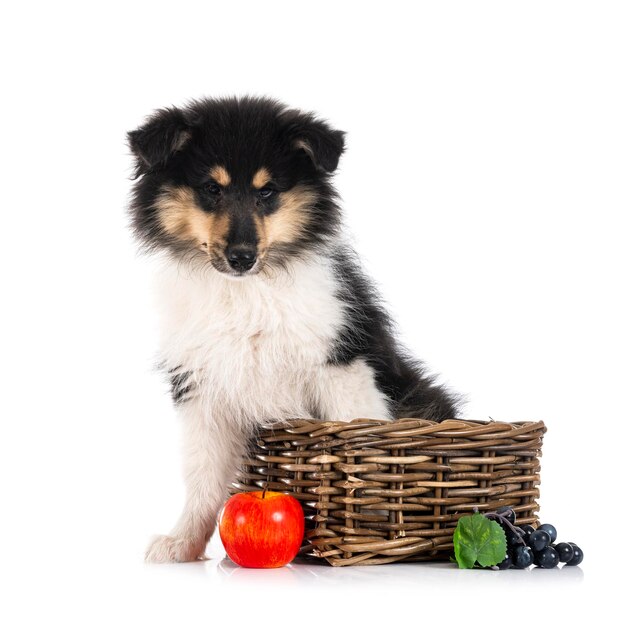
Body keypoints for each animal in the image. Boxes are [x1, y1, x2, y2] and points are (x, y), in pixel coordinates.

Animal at [126, 96, 458, 560]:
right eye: (212, 189)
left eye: (267, 191)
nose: (241, 257)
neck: (246, 292)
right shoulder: (202, 387)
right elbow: (202, 475)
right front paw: (182, 542)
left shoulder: (341, 366)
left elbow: (362, 449)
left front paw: (374, 529)